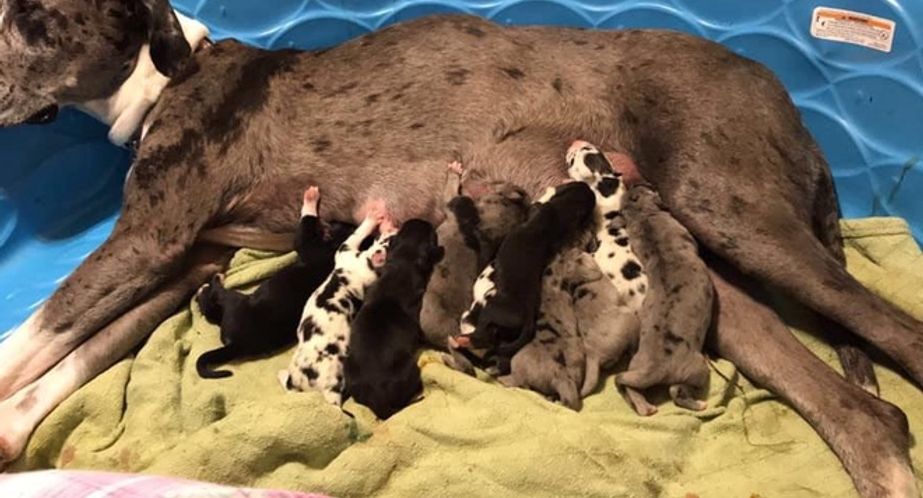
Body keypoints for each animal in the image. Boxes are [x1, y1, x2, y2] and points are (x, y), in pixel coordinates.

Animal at [194, 187, 355, 379]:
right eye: (346, 224)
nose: (334, 220)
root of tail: (235, 344)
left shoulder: (309, 248)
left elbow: (304, 227)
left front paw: (310, 197)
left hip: (234, 300)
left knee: (213, 301)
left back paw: (209, 285)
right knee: (212, 313)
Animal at [280, 209, 391, 406]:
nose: (392, 226)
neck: (365, 263)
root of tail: (326, 390)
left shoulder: (346, 251)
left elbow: (357, 234)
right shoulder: (347, 251)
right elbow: (358, 233)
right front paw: (374, 215)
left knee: (288, 385)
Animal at [345, 219, 444, 419]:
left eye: (403, 228)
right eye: (432, 234)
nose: (422, 220)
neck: (403, 262)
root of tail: (377, 398)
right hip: (411, 370)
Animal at [616, 182, 714, 414]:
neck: (642, 216)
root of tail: (655, 367)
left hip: (635, 367)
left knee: (631, 387)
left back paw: (645, 407)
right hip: (697, 370)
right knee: (676, 392)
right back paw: (699, 404)